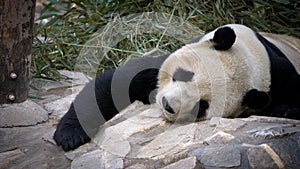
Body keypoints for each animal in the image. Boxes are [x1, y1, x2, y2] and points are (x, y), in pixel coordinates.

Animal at [54, 23, 300, 151]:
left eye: (202, 106)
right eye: (184, 74)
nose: (167, 105)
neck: (252, 58)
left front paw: (284, 109)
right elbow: (113, 84)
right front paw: (69, 134)